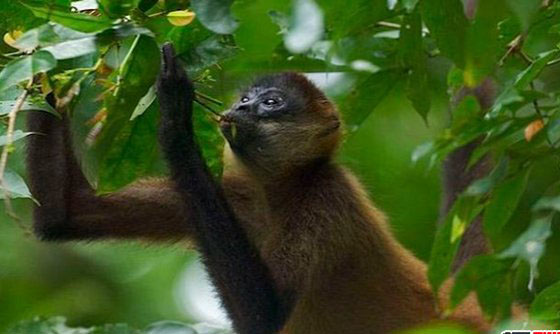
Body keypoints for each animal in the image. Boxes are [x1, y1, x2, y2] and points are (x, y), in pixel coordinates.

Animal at [25, 42, 494, 334]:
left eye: (270, 102)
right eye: (246, 99)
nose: (243, 108)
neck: (276, 197)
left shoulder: (326, 195)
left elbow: (262, 311)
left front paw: (175, 116)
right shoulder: (237, 194)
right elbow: (67, 212)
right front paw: (44, 63)